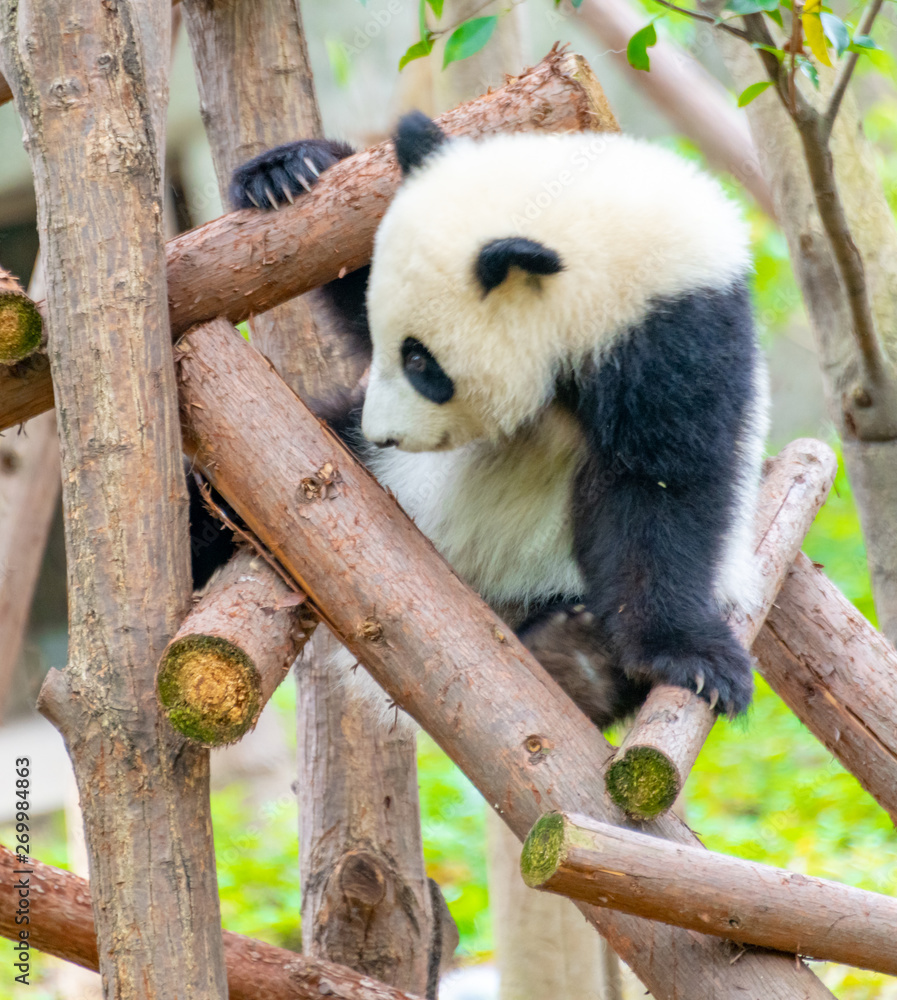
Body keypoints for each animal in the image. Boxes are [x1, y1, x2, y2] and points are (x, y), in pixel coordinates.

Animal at [223, 112, 769, 728]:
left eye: (420, 361)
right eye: (391, 343)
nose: (382, 433)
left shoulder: (676, 330)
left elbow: (661, 490)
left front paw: (691, 658)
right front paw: (289, 170)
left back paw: (573, 656)